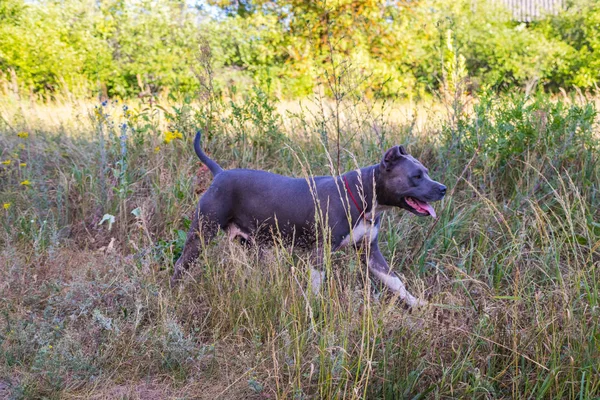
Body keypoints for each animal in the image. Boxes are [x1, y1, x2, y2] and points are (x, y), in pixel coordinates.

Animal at [169, 131, 446, 306]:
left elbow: (395, 281)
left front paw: (416, 302)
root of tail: (220, 173)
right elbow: (316, 285)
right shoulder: (320, 253)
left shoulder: (370, 252)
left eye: (427, 172)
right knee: (181, 265)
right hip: (201, 233)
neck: (364, 196)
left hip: (250, 245)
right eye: (416, 176)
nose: (442, 188)